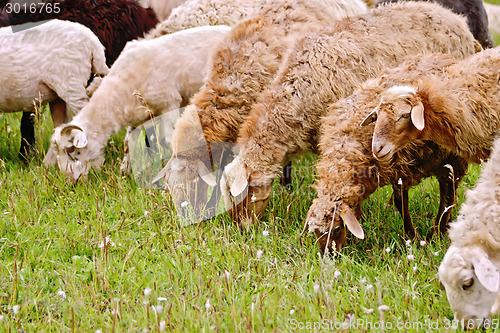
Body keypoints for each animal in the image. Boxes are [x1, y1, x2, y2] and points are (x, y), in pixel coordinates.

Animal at [47, 25, 230, 182]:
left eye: (71, 149)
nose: (70, 181)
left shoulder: (170, 104)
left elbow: (170, 140)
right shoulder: (137, 117)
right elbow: (128, 143)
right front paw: (125, 172)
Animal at [306, 53, 466, 252]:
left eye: (336, 229)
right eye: (315, 232)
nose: (329, 255)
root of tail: (446, 58)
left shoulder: (400, 167)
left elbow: (401, 202)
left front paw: (412, 237)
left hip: (452, 157)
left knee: (448, 192)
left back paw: (438, 231)